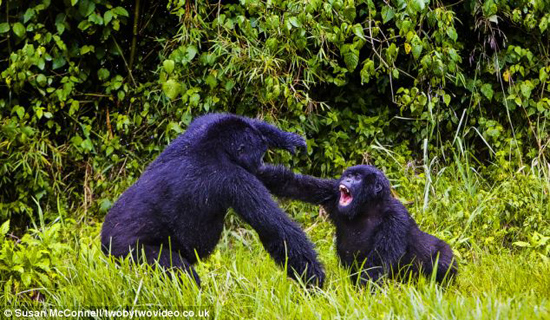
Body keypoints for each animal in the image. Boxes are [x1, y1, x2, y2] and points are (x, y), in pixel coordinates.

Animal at [102, 113, 326, 288]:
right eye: (260, 155)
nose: (261, 166)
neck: (216, 148)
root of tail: (104, 244)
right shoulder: (235, 179)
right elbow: (277, 230)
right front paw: (316, 282)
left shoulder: (198, 131)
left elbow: (219, 117)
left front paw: (286, 139)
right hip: (128, 252)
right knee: (177, 272)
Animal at [256, 164, 460, 284]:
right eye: (349, 175)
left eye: (357, 178)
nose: (346, 179)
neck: (368, 205)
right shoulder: (332, 191)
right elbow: (295, 185)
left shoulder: (396, 217)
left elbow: (377, 263)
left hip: (444, 255)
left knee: (443, 262)